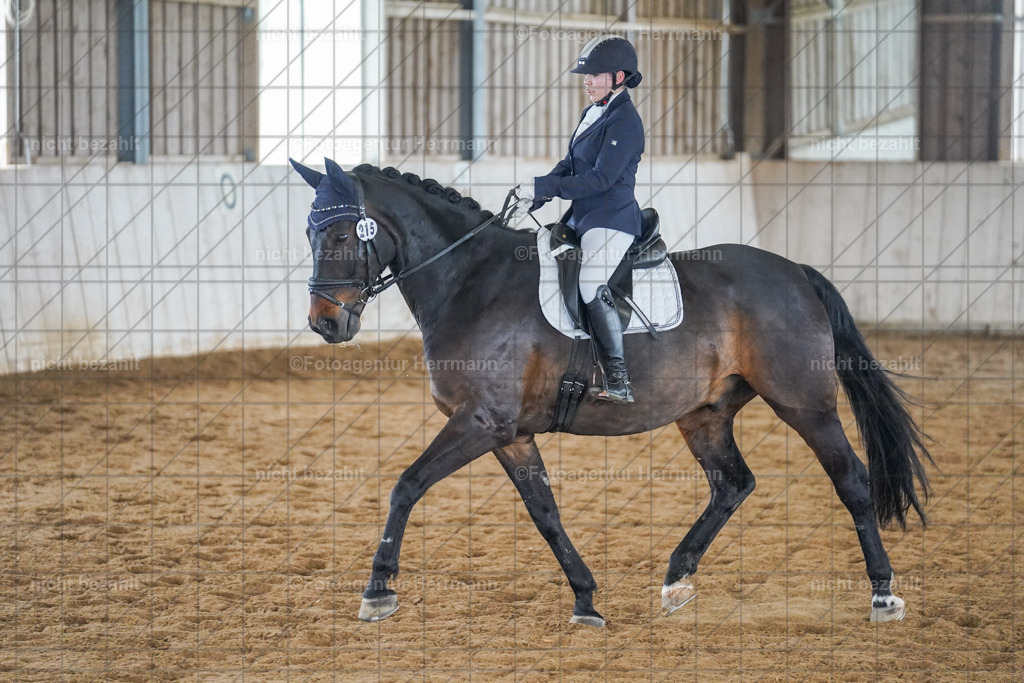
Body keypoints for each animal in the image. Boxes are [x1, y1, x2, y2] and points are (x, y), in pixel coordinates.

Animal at [291, 157, 931, 628]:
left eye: (344, 231)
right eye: (309, 230)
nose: (325, 323)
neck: (469, 282)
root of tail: (797, 271)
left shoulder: (480, 422)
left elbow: (406, 485)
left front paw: (377, 591)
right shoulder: (511, 434)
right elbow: (545, 512)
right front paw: (585, 599)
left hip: (804, 404)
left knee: (851, 479)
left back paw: (882, 594)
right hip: (704, 412)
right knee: (733, 483)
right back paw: (676, 581)